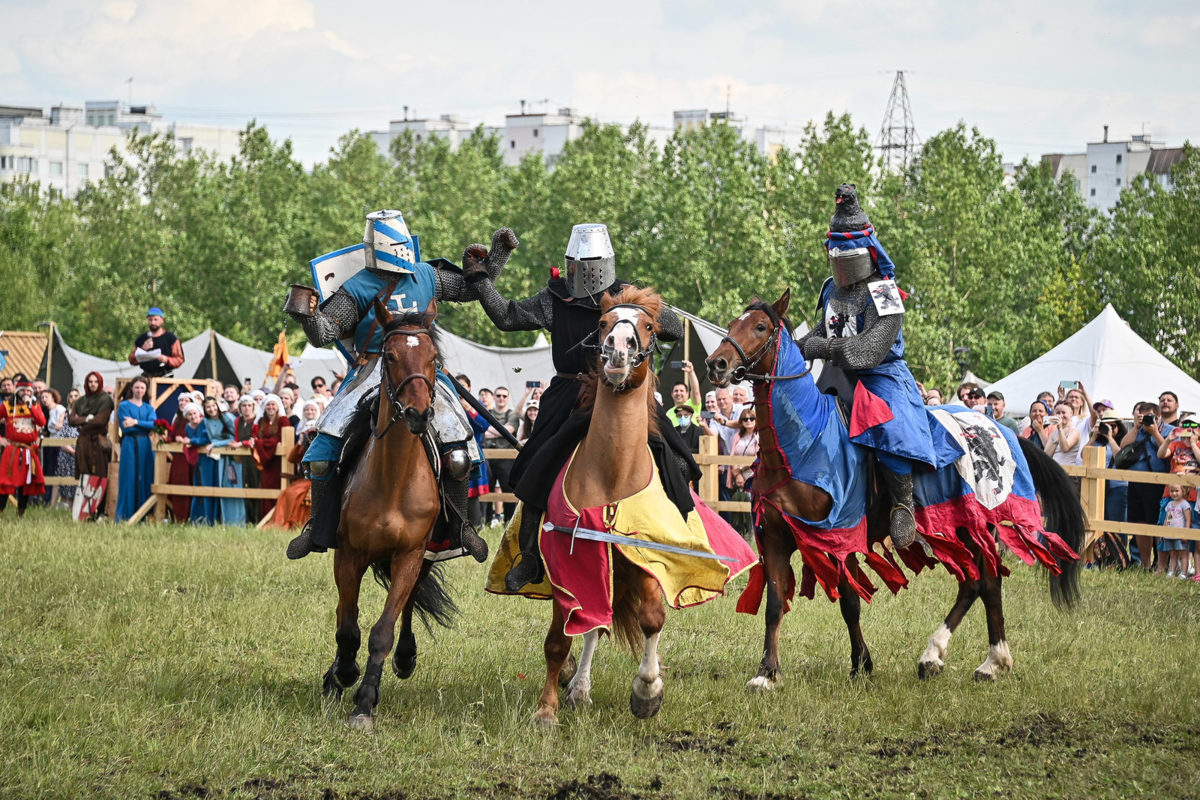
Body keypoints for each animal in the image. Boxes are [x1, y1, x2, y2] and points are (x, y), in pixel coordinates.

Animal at [321, 298, 456, 734]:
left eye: (433, 358)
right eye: (391, 356)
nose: (418, 414)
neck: (393, 478)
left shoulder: (410, 555)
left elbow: (383, 629)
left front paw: (365, 702)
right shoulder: (349, 555)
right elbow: (347, 626)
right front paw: (344, 673)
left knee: (410, 602)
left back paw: (405, 657)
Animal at [705, 291, 1084, 690]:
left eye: (760, 326)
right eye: (732, 324)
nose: (716, 364)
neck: (804, 443)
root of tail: (1001, 428)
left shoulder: (840, 538)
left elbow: (850, 603)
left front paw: (861, 664)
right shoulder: (777, 540)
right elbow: (775, 605)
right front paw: (767, 673)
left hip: (975, 524)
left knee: (988, 582)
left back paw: (989, 661)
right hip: (956, 527)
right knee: (974, 583)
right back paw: (942, 658)